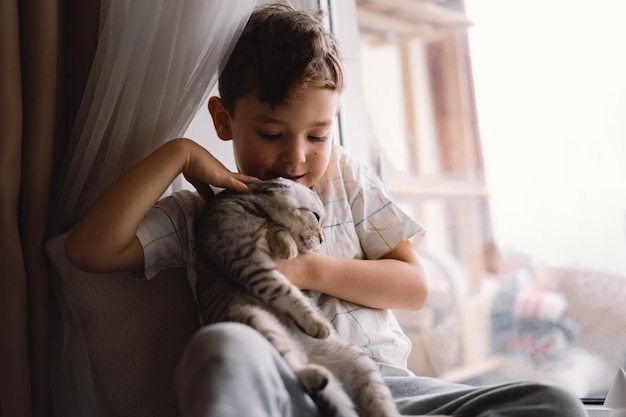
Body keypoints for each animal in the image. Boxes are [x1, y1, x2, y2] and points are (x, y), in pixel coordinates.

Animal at [193, 177, 402, 416]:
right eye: (317, 217)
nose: (321, 240)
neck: (258, 212)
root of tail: (307, 354)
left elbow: (279, 233)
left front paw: (285, 245)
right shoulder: (249, 261)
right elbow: (287, 292)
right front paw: (316, 323)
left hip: (360, 364)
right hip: (254, 319)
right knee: (290, 365)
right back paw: (315, 373)